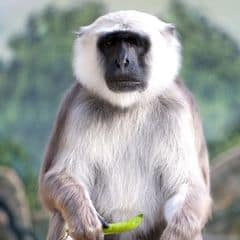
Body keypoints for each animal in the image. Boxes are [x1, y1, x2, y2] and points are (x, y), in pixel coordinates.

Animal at [39, 10, 212, 239]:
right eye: (110, 43)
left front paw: (176, 233)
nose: (122, 62)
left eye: (134, 42)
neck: (128, 106)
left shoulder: (177, 110)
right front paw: (83, 219)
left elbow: (190, 187)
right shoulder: (79, 106)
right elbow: (54, 180)